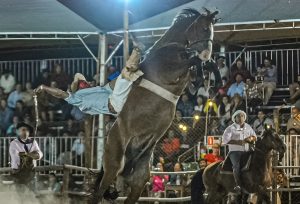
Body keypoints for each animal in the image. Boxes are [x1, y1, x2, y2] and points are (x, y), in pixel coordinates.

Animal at [89, 8, 218, 204]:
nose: (206, 54)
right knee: (98, 192)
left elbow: (200, 72)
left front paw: (210, 72)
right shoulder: (171, 71)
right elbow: (193, 61)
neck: (174, 47)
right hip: (113, 166)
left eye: (211, 31)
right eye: (204, 28)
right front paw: (202, 66)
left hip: (139, 180)